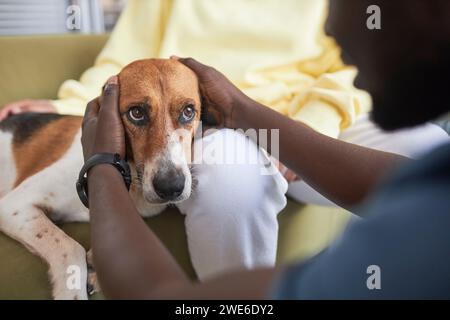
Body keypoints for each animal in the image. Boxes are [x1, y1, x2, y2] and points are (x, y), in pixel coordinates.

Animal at [0, 59, 201, 300]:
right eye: (136, 113)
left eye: (188, 111)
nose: (171, 187)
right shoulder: (14, 206)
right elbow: (71, 248)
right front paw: (73, 290)